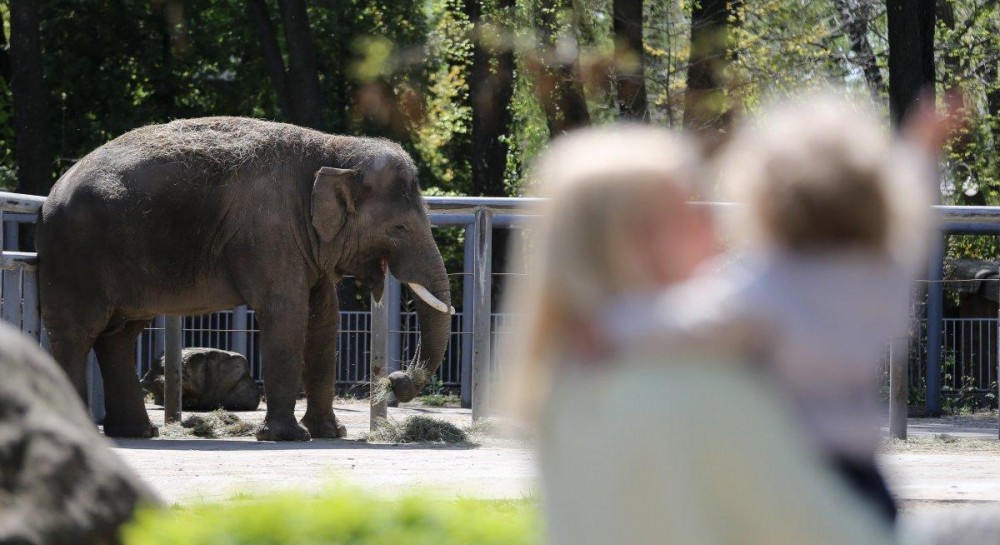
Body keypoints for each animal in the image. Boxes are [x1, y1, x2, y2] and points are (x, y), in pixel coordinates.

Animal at [38, 117, 454, 440]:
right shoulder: (271, 230)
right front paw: (290, 438)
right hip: (75, 255)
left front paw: (330, 434)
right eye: (399, 228)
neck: (333, 149)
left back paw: (138, 432)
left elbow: (323, 319)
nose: (396, 380)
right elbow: (287, 314)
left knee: (119, 337)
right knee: (78, 334)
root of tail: (51, 194)